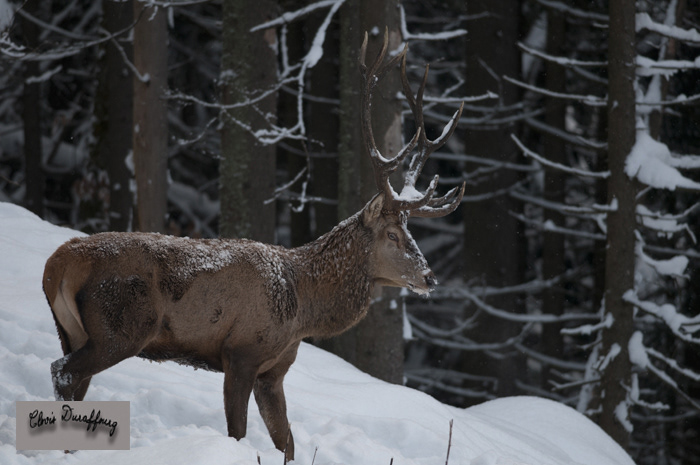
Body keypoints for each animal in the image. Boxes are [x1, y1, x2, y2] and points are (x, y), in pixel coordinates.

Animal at [43, 31, 464, 461]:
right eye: (393, 235)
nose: (429, 278)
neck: (302, 309)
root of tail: (58, 264)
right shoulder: (241, 352)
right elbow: (239, 433)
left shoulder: (272, 372)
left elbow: (287, 442)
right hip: (121, 325)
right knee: (64, 371)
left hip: (72, 329)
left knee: (73, 379)